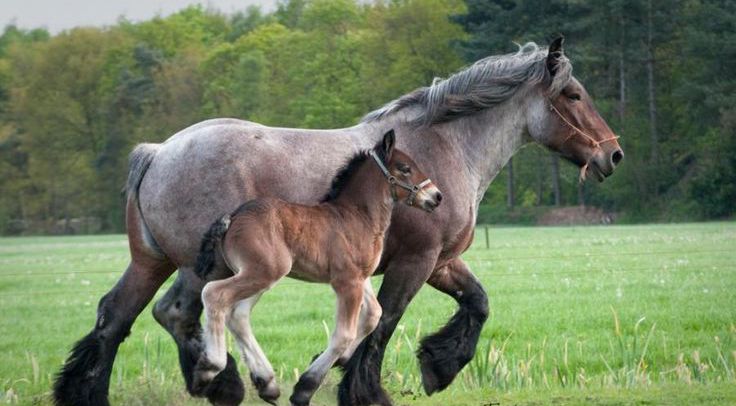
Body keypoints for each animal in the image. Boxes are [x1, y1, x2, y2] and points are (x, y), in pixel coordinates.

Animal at [193, 131, 440, 406]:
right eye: (405, 168)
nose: (437, 196)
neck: (358, 216)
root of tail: (234, 216)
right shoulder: (347, 282)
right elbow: (343, 334)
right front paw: (305, 388)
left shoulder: (360, 278)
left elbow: (374, 314)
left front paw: (341, 360)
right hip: (262, 272)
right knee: (214, 294)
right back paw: (208, 368)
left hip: (259, 276)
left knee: (238, 314)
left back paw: (267, 384)